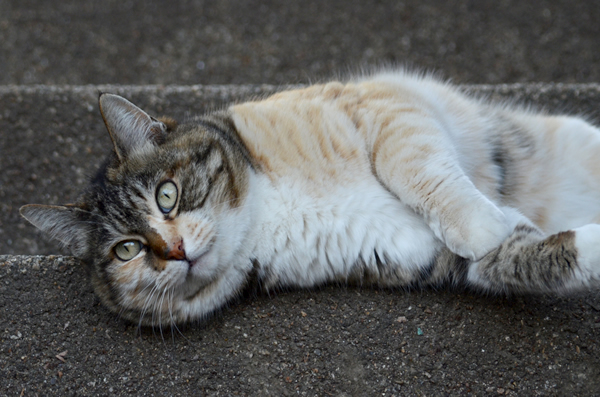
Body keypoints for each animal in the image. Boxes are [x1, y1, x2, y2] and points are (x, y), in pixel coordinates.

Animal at [18, 70, 600, 324]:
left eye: (167, 195)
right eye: (127, 250)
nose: (175, 251)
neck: (264, 213)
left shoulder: (383, 105)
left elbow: (415, 169)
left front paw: (483, 224)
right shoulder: (415, 253)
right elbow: (525, 254)